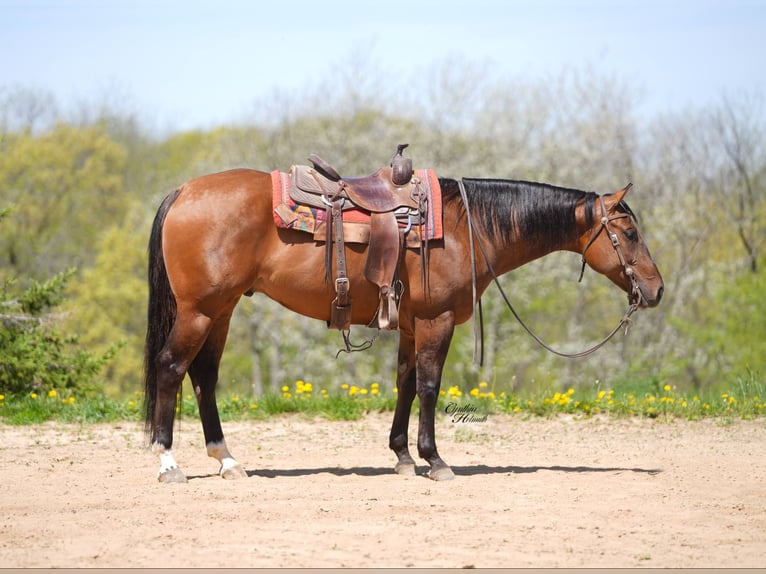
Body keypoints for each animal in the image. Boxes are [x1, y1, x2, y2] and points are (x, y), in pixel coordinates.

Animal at [143, 166, 664, 483]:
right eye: (629, 233)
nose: (657, 290)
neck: (465, 228)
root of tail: (184, 191)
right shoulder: (437, 320)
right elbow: (430, 386)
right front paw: (435, 460)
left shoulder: (413, 325)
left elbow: (406, 384)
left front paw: (402, 455)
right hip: (200, 310)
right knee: (171, 367)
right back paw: (169, 463)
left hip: (222, 310)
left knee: (204, 377)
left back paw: (227, 460)